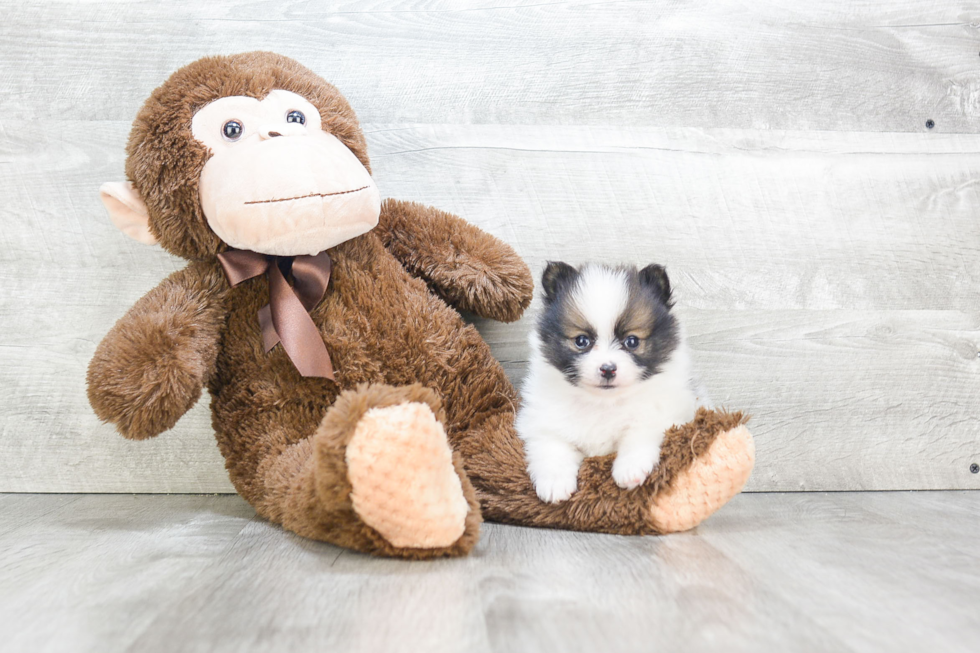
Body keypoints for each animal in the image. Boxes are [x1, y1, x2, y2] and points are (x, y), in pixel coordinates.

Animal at [516, 262, 700, 502]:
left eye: (632, 341)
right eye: (581, 341)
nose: (608, 369)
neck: (603, 402)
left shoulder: (665, 413)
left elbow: (640, 431)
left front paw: (630, 469)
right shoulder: (541, 420)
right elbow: (552, 446)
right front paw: (554, 483)